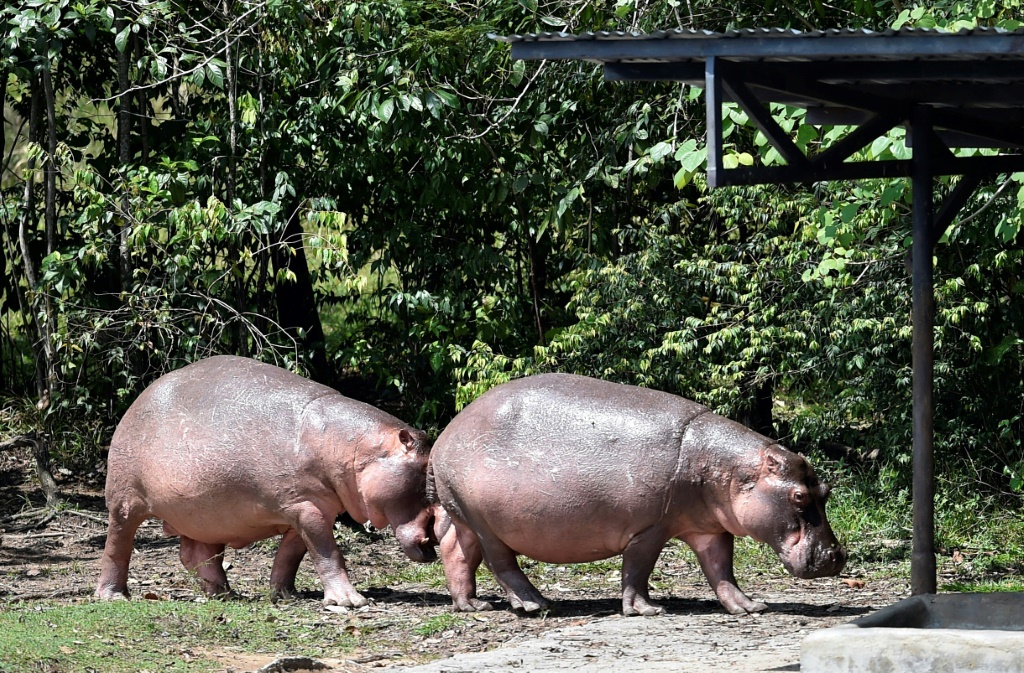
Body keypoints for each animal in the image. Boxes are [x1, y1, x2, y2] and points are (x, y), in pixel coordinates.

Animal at [94, 354, 434, 606]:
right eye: (423, 472)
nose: (432, 539)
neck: (350, 446)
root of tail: (140, 397)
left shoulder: (308, 509)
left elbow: (291, 555)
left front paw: (284, 594)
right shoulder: (305, 506)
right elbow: (328, 553)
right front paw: (352, 602)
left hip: (204, 514)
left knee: (197, 554)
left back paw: (223, 594)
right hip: (125, 500)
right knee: (117, 545)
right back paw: (113, 596)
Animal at [428, 374, 843, 618]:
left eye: (825, 490)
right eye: (799, 497)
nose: (837, 556)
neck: (726, 467)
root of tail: (446, 433)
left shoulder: (711, 529)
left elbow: (722, 570)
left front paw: (750, 607)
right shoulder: (650, 528)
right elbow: (638, 569)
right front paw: (646, 610)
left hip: (462, 513)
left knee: (456, 551)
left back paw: (472, 605)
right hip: (485, 521)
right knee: (501, 562)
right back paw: (535, 603)